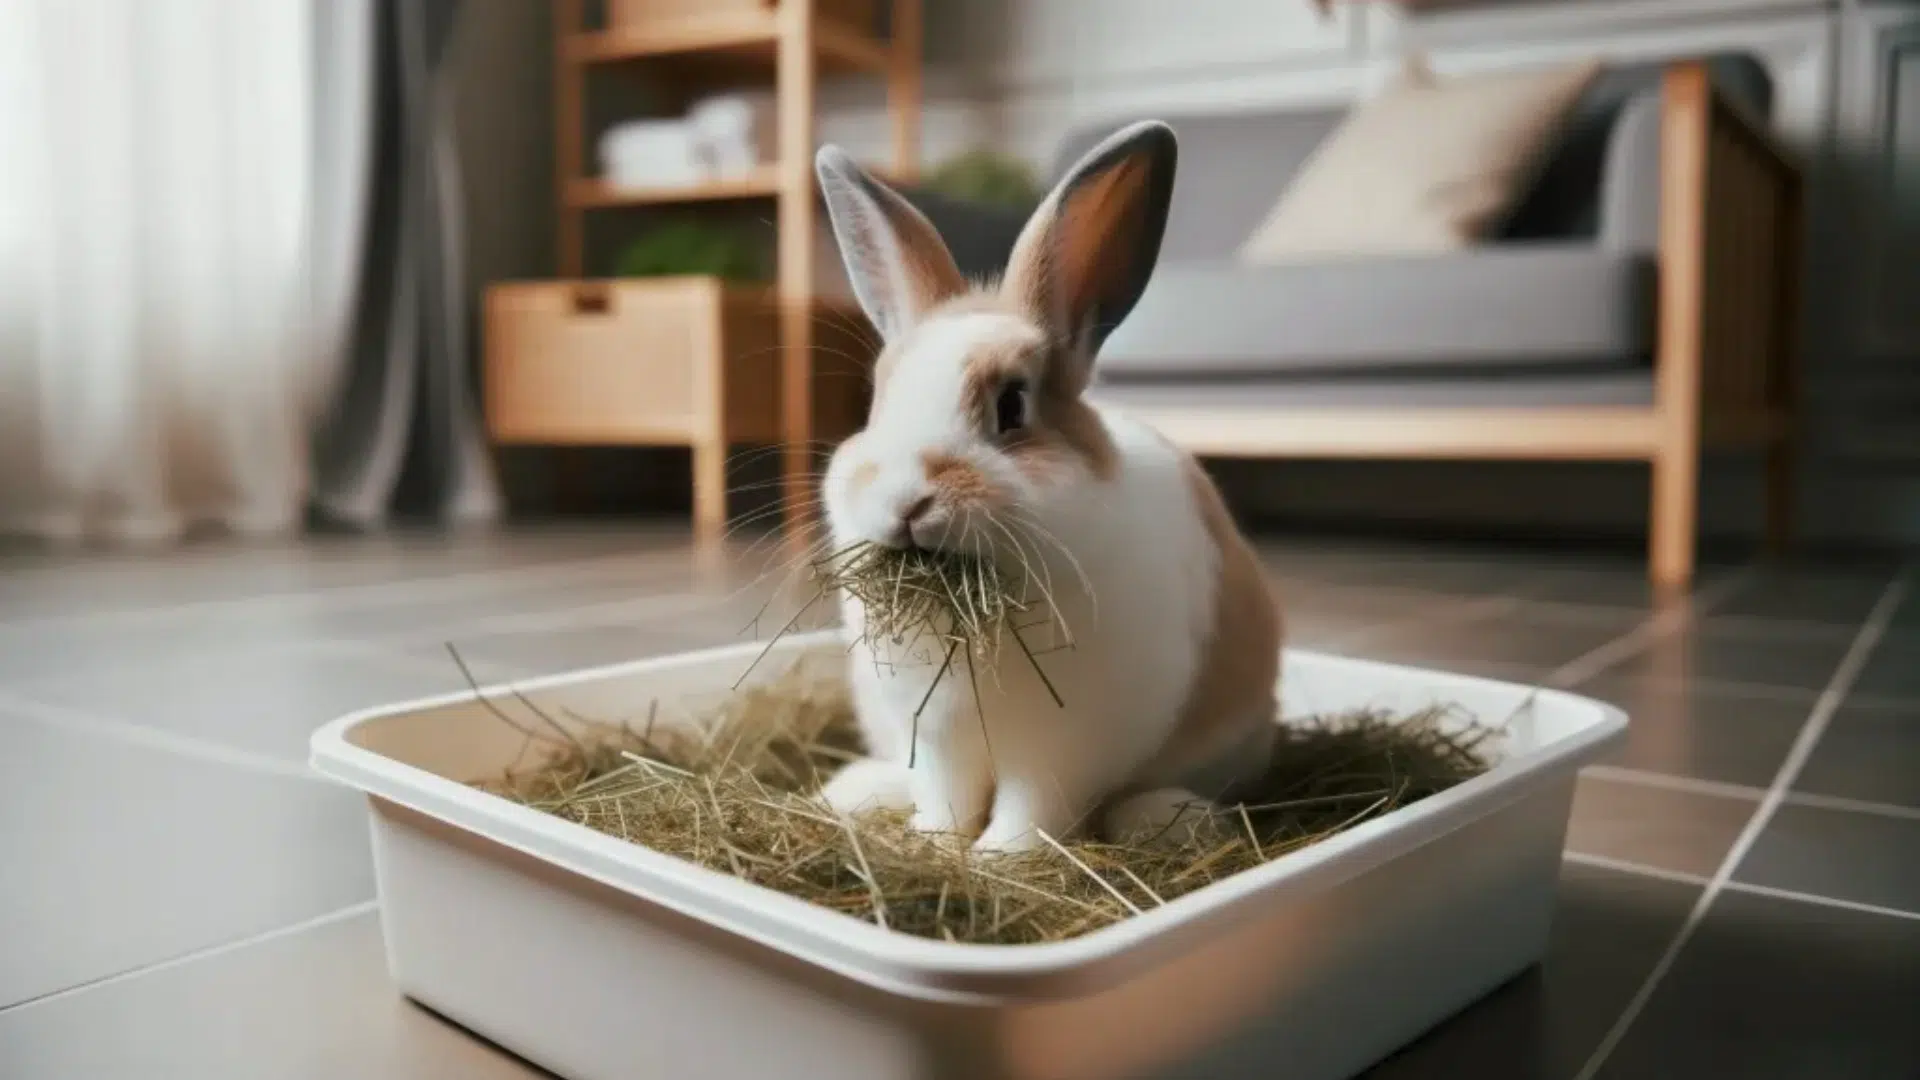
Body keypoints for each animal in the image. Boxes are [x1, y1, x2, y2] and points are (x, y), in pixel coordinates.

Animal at [811, 121, 1283, 854]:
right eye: (877, 403)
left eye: (1012, 406)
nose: (908, 500)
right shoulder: (937, 737)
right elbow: (946, 800)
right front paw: (935, 846)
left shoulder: (1062, 751)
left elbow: (1031, 809)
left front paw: (997, 859)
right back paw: (856, 791)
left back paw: (1170, 819)